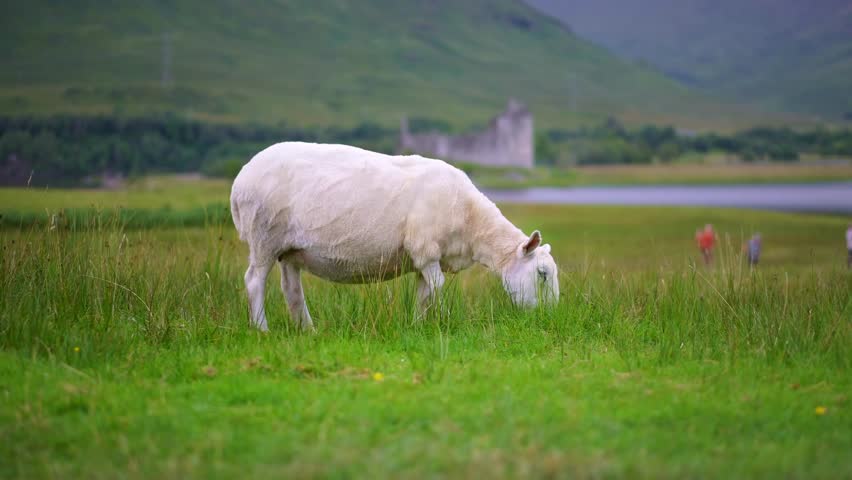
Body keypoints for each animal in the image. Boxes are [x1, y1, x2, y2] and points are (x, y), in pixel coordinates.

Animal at [230, 142, 559, 331]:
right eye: (542, 274)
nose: (549, 317)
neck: (472, 221)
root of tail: (240, 180)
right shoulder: (425, 249)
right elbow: (438, 287)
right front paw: (442, 321)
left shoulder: (424, 259)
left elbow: (424, 294)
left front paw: (417, 326)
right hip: (264, 235)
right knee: (254, 281)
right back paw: (262, 329)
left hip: (289, 248)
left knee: (291, 289)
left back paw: (307, 330)